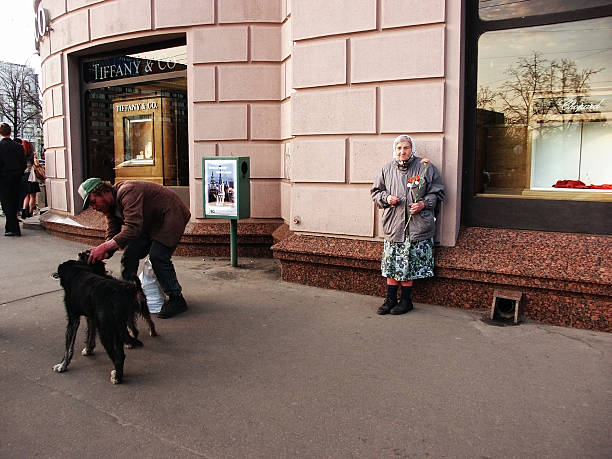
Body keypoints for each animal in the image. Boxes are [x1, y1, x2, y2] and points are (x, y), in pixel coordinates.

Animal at [53, 253, 158, 382]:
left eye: (86, 254)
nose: (79, 254)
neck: (78, 272)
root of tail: (130, 287)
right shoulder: (92, 318)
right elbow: (90, 335)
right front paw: (89, 349)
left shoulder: (73, 319)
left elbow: (68, 347)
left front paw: (62, 365)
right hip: (123, 321)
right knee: (126, 346)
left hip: (106, 330)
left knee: (118, 356)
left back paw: (117, 377)